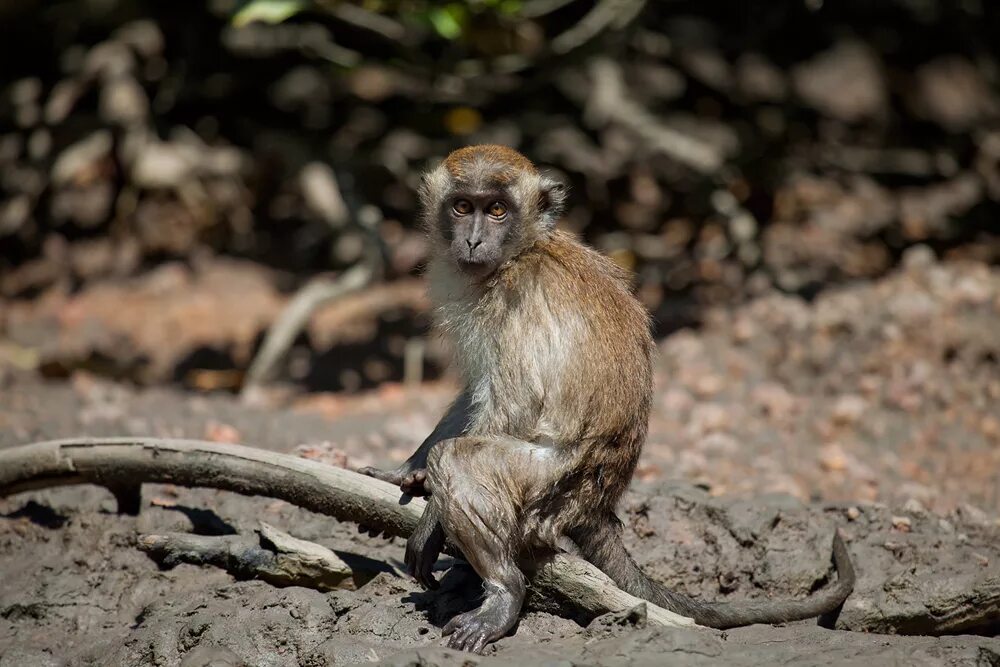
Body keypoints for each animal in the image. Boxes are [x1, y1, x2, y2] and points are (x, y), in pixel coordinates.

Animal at [362, 145, 860, 652]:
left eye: (497, 210)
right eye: (463, 207)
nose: (474, 240)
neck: (524, 250)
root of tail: (599, 506)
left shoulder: (514, 298)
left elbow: (512, 407)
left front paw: (432, 520)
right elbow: (474, 391)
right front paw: (409, 469)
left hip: (550, 485)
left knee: (462, 459)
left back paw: (505, 592)